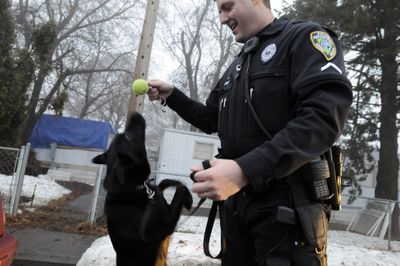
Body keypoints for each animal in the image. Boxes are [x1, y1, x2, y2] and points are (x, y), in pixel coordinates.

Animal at [94, 112, 194, 266]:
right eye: (127, 137)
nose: (134, 114)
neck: (135, 188)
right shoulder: (164, 226)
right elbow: (180, 190)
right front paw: (188, 199)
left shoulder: (154, 191)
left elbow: (164, 182)